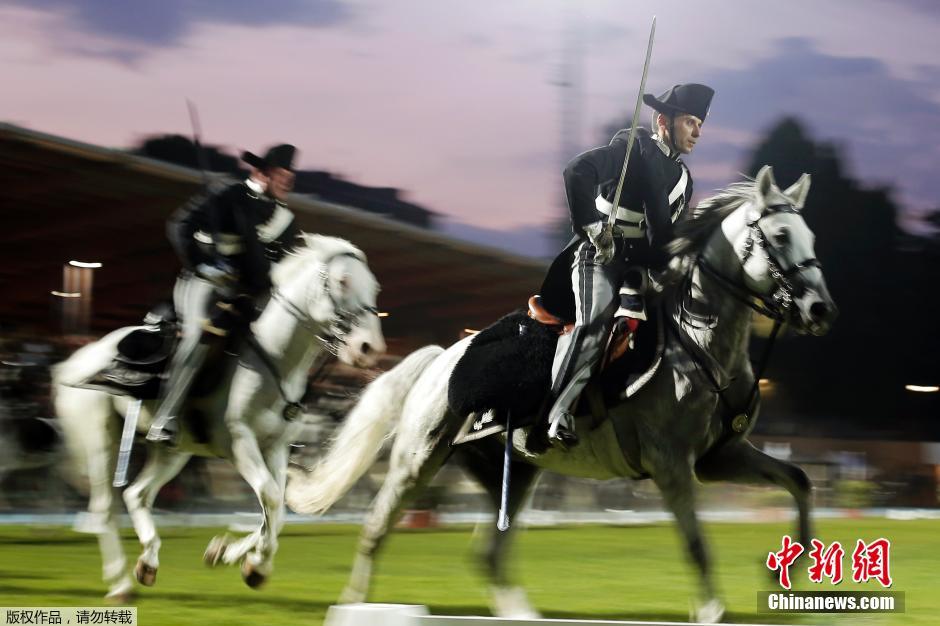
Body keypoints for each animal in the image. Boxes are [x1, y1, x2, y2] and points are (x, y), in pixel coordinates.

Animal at [53, 234, 384, 600]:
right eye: (343, 281)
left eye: (375, 287)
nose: (369, 348)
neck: (273, 359)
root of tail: (79, 356)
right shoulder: (240, 442)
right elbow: (271, 498)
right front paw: (251, 562)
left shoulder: (276, 447)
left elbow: (277, 511)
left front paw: (234, 556)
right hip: (100, 438)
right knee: (104, 507)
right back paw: (121, 584)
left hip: (173, 451)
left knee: (136, 494)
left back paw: (148, 563)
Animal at [286, 168, 836, 620]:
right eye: (781, 235)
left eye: (811, 235)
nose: (820, 310)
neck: (696, 339)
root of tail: (441, 358)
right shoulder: (672, 464)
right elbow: (697, 543)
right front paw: (713, 610)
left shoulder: (719, 456)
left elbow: (800, 480)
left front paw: (793, 569)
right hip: (416, 460)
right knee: (376, 528)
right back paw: (353, 605)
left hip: (511, 472)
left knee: (489, 556)